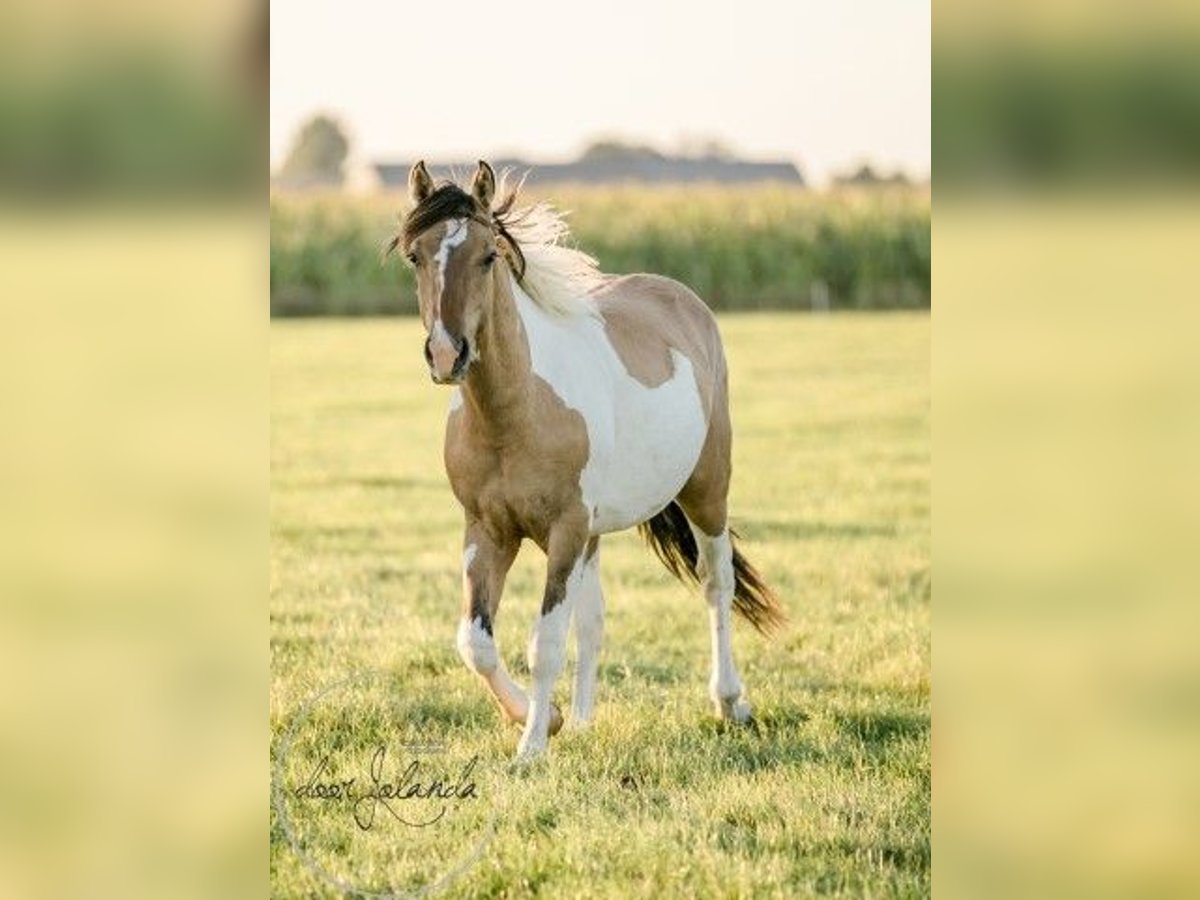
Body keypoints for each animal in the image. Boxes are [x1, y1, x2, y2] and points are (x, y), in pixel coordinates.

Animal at [393, 162, 787, 763]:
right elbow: (476, 642)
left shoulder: (565, 530)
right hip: (595, 535)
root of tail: (682, 299)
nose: (446, 354)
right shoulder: (488, 530)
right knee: (594, 619)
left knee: (716, 584)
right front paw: (548, 720)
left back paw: (729, 703)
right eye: (416, 255)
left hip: (706, 490)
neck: (519, 411)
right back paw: (581, 722)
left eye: (488, 256)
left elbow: (545, 642)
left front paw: (531, 746)